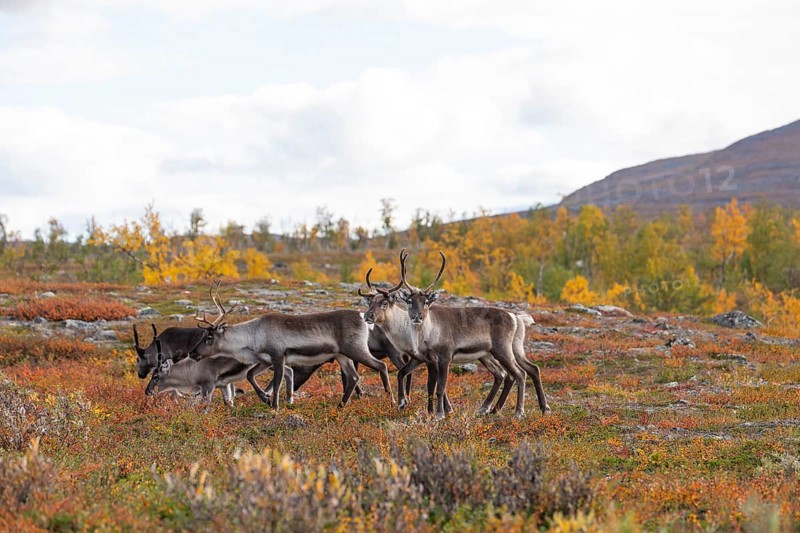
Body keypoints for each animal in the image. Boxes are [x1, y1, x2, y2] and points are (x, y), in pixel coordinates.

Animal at [191, 283, 394, 409]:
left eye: (209, 337)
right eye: (203, 335)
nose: (192, 354)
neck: (253, 336)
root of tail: (363, 318)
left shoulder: (278, 356)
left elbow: (277, 381)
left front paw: (274, 406)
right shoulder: (264, 360)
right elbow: (250, 375)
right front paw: (265, 399)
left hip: (356, 350)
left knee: (381, 366)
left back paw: (391, 399)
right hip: (342, 356)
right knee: (353, 377)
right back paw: (341, 405)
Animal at [397, 250, 550, 418]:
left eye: (425, 302)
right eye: (409, 301)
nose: (417, 316)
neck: (428, 334)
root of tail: (515, 317)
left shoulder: (445, 356)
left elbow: (440, 388)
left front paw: (439, 414)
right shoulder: (429, 360)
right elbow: (430, 387)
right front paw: (430, 413)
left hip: (502, 349)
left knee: (519, 373)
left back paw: (518, 412)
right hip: (506, 350)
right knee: (527, 369)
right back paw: (537, 408)